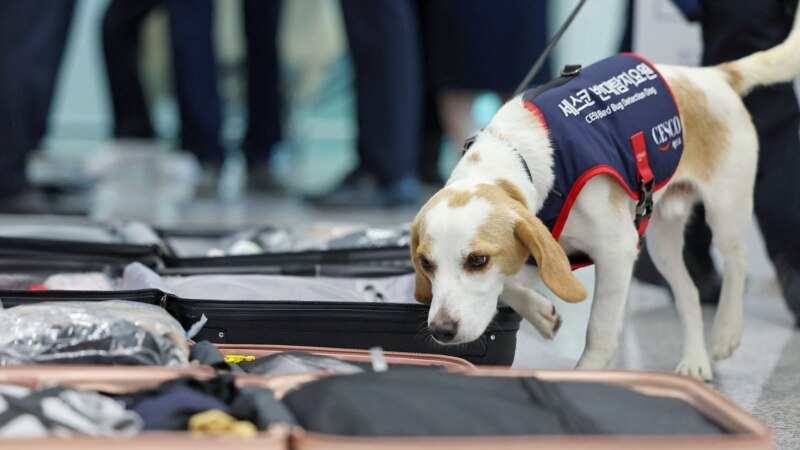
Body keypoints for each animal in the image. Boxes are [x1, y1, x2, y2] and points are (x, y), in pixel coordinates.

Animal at [410, 10, 800, 380]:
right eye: (425, 264)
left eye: (477, 260)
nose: (441, 330)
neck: (518, 155)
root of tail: (712, 77)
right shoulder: (540, 250)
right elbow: (508, 286)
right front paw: (540, 312)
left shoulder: (617, 250)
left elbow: (600, 330)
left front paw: (588, 373)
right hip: (660, 240)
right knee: (688, 293)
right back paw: (695, 361)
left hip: (725, 210)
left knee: (737, 259)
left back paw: (726, 332)